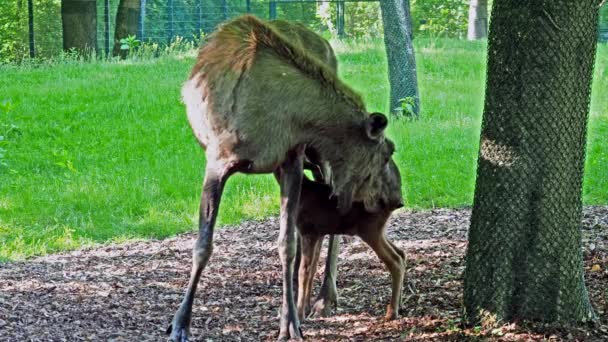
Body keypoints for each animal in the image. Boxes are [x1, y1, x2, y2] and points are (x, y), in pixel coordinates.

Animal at [166, 14, 396, 340]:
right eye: (388, 151)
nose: (393, 199)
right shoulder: (217, 161)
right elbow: (203, 245)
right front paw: (180, 323)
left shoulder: (292, 159)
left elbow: (286, 244)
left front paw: (290, 322)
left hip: (318, 161)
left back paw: (324, 297)